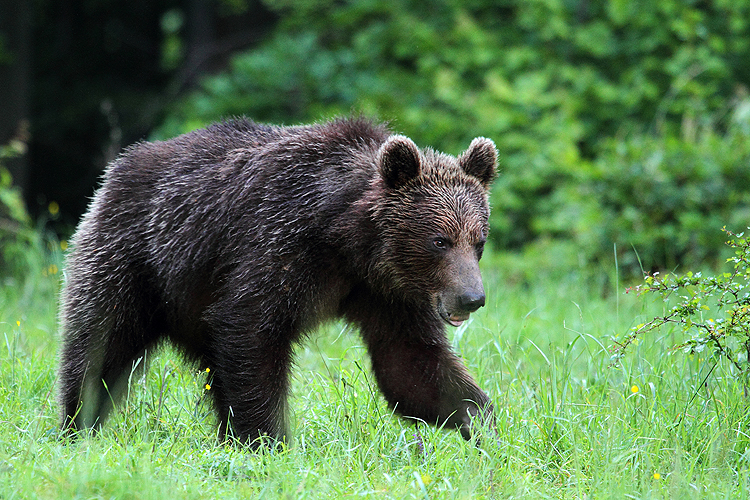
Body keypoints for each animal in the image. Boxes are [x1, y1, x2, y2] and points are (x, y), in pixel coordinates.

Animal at [57, 116, 494, 446]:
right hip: (135, 257)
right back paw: (76, 424)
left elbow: (411, 364)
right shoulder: (276, 243)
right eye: (439, 240)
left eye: (478, 241)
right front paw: (266, 439)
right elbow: (252, 334)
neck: (348, 241)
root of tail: (119, 167)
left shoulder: (388, 294)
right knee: (101, 344)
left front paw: (482, 421)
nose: (471, 297)